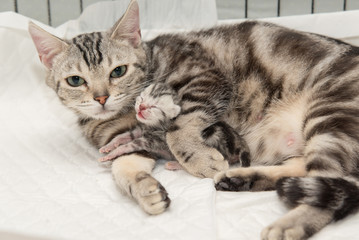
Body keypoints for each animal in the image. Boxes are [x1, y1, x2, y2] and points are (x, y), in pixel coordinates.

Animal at [97, 81, 252, 170]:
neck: (155, 125)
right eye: (141, 98)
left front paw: (113, 153)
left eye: (153, 107)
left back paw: (175, 164)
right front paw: (108, 146)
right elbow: (123, 136)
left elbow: (130, 144)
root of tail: (240, 144)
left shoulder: (153, 139)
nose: (141, 107)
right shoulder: (141, 128)